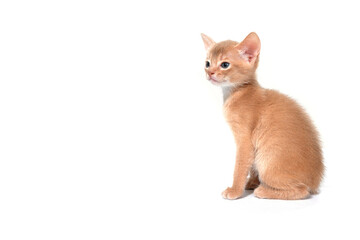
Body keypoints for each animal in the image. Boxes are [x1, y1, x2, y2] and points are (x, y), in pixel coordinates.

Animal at [202, 32, 324, 200]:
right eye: (207, 63)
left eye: (225, 64)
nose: (209, 73)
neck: (238, 93)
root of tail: (315, 181)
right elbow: (250, 166)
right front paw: (251, 182)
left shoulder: (245, 140)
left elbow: (240, 166)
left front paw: (235, 190)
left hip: (267, 162)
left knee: (302, 190)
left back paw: (263, 190)